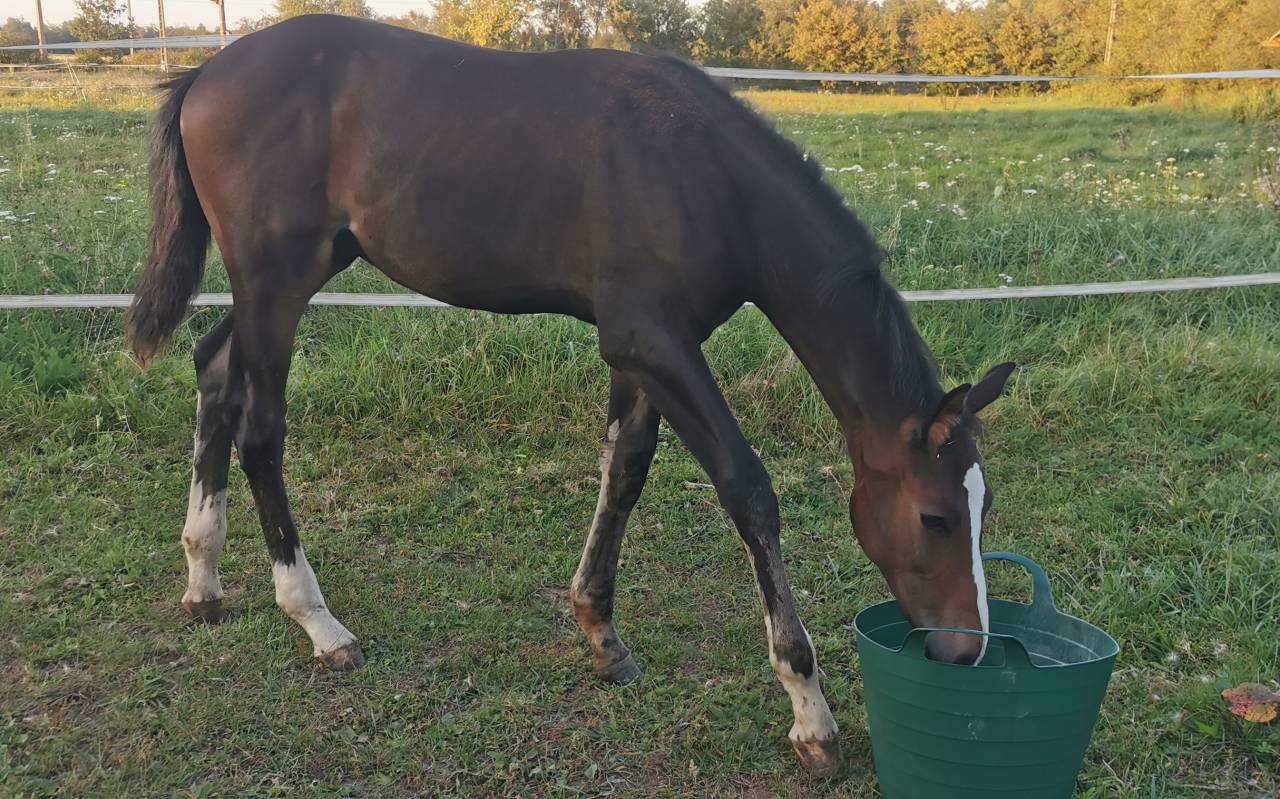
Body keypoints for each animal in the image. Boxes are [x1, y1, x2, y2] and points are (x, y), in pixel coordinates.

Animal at [126, 14, 1015, 776]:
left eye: (983, 509)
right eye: (936, 516)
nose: (966, 647)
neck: (704, 172)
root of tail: (207, 72)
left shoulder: (644, 350)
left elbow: (625, 471)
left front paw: (600, 631)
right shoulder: (655, 342)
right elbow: (747, 489)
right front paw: (811, 711)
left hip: (289, 278)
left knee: (213, 371)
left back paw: (203, 578)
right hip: (277, 280)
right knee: (261, 429)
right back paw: (317, 620)